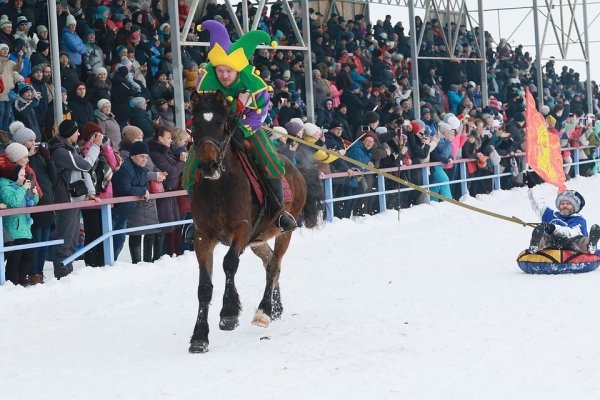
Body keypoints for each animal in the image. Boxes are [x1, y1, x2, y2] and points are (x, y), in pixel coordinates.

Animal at [189, 91, 324, 354]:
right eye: (194, 125)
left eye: (221, 124)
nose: (209, 166)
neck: (218, 188)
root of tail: (294, 168)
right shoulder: (203, 236)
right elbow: (204, 287)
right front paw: (199, 337)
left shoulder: (241, 230)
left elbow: (229, 263)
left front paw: (229, 313)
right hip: (258, 239)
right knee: (269, 261)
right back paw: (276, 308)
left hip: (283, 232)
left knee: (274, 266)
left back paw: (264, 311)